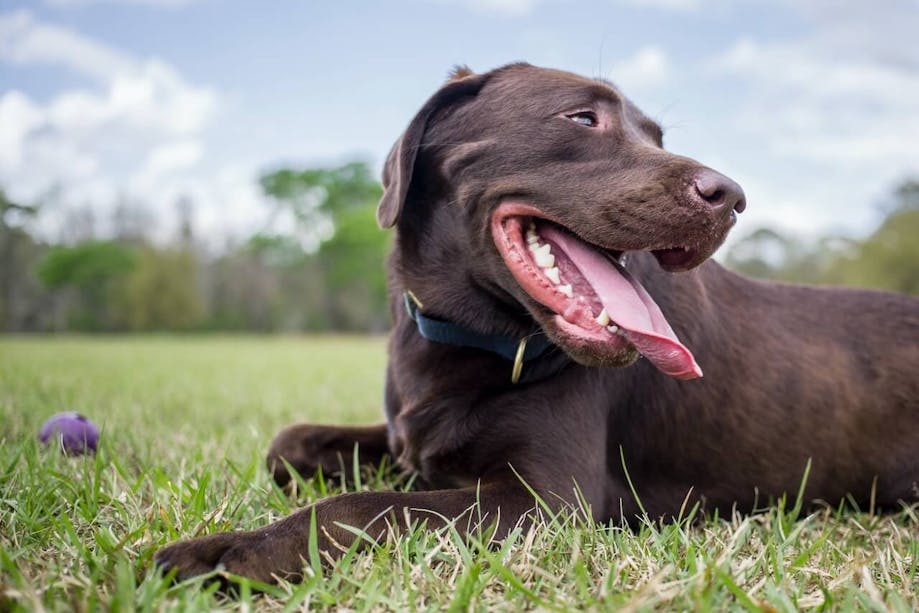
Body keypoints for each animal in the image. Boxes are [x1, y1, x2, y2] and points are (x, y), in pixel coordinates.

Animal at [158, 63, 919, 584]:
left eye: (655, 137)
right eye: (581, 119)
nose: (730, 196)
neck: (470, 335)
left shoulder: (545, 500)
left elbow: (359, 507)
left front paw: (226, 552)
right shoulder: (410, 439)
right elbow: (290, 442)